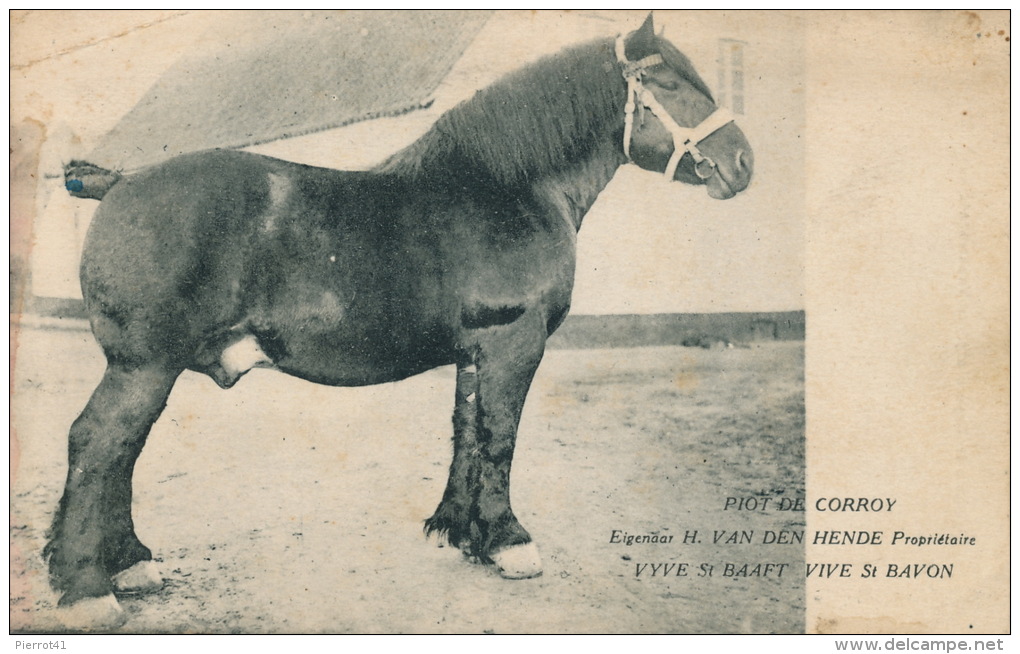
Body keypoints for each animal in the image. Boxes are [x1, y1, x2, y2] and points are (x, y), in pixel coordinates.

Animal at [45, 15, 750, 624]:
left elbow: (467, 432)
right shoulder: (513, 342)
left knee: (122, 453)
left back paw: (129, 564)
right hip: (144, 366)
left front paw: (461, 532)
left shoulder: (476, 351)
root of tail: (120, 182)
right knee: (98, 444)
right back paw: (88, 590)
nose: (743, 162)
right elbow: (500, 438)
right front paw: (510, 542)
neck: (507, 187)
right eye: (668, 83)